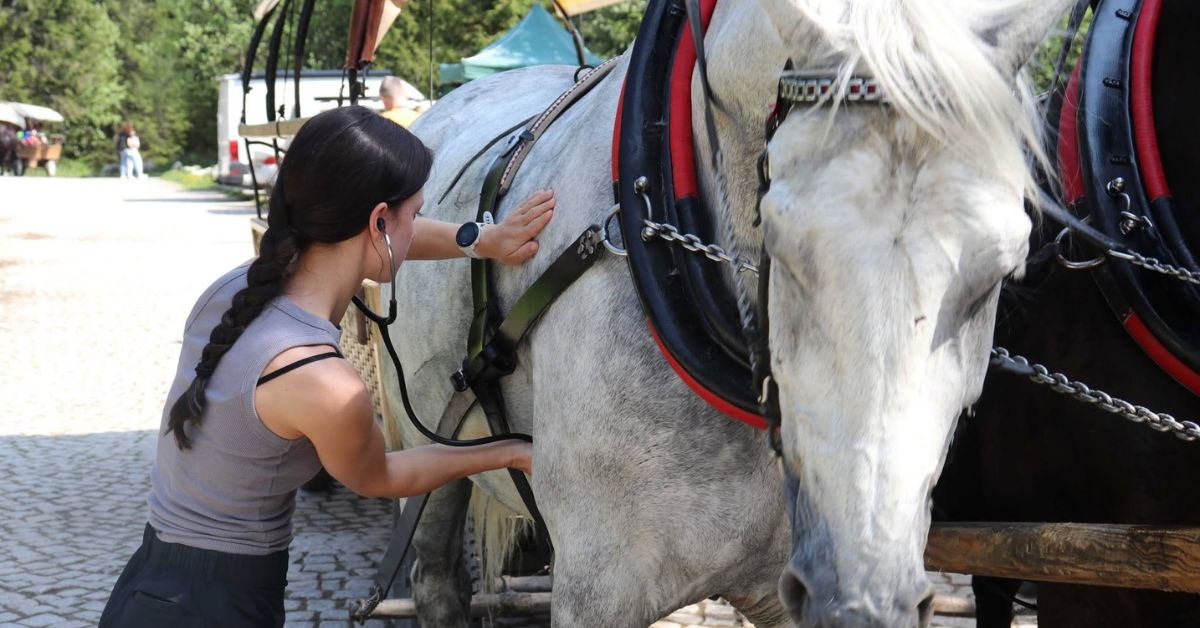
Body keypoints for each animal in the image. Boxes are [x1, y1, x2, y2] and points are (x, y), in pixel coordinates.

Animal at [383, 0, 1068, 625]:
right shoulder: (596, 592)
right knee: (436, 576)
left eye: (1005, 269)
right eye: (780, 241)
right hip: (425, 443)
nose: (863, 600)